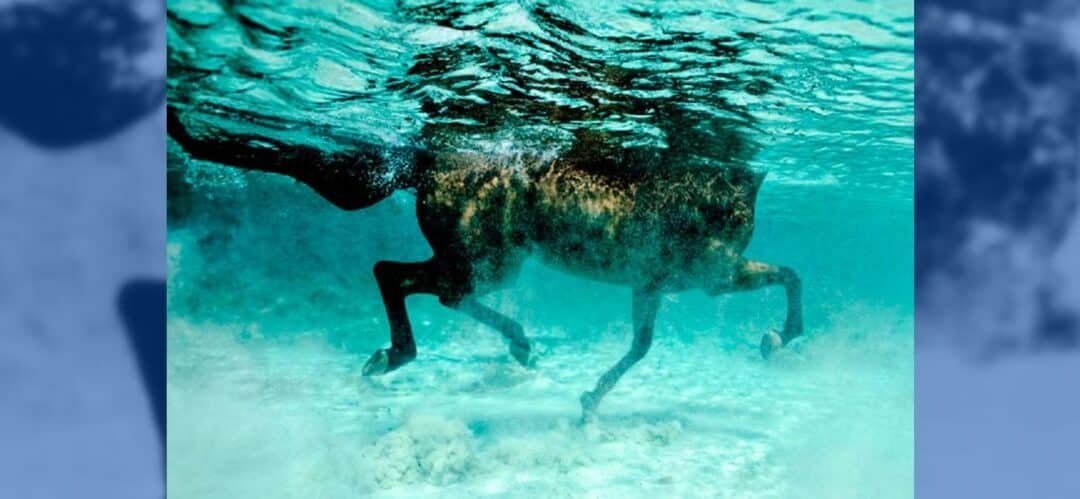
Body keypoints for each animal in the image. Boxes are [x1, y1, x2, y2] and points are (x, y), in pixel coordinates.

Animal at [167, 107, 802, 420]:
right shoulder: (712, 279)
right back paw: (395, 357)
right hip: (489, 260)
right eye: (733, 213)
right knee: (397, 275)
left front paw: (590, 401)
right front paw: (782, 336)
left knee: (432, 288)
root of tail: (426, 166)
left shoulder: (653, 285)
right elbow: (791, 274)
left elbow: (641, 346)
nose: (735, 226)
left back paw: (515, 344)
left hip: (490, 261)